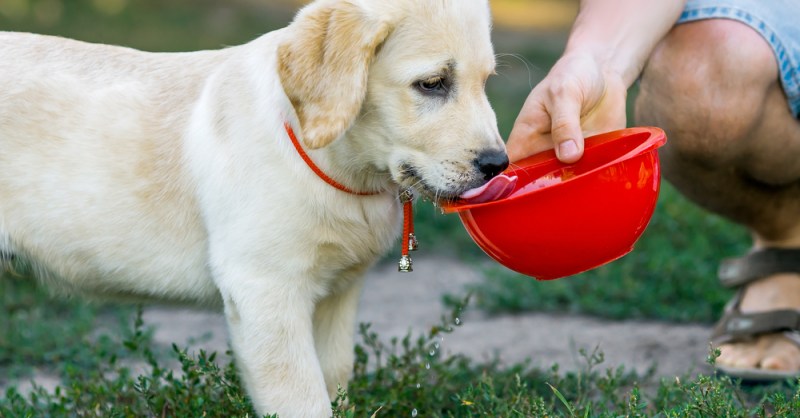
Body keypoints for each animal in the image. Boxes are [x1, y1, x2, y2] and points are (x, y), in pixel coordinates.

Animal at [0, 0, 506, 414]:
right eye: (432, 84)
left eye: (486, 82)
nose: (497, 165)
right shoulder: (265, 291)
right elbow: (303, 399)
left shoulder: (338, 294)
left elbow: (334, 379)